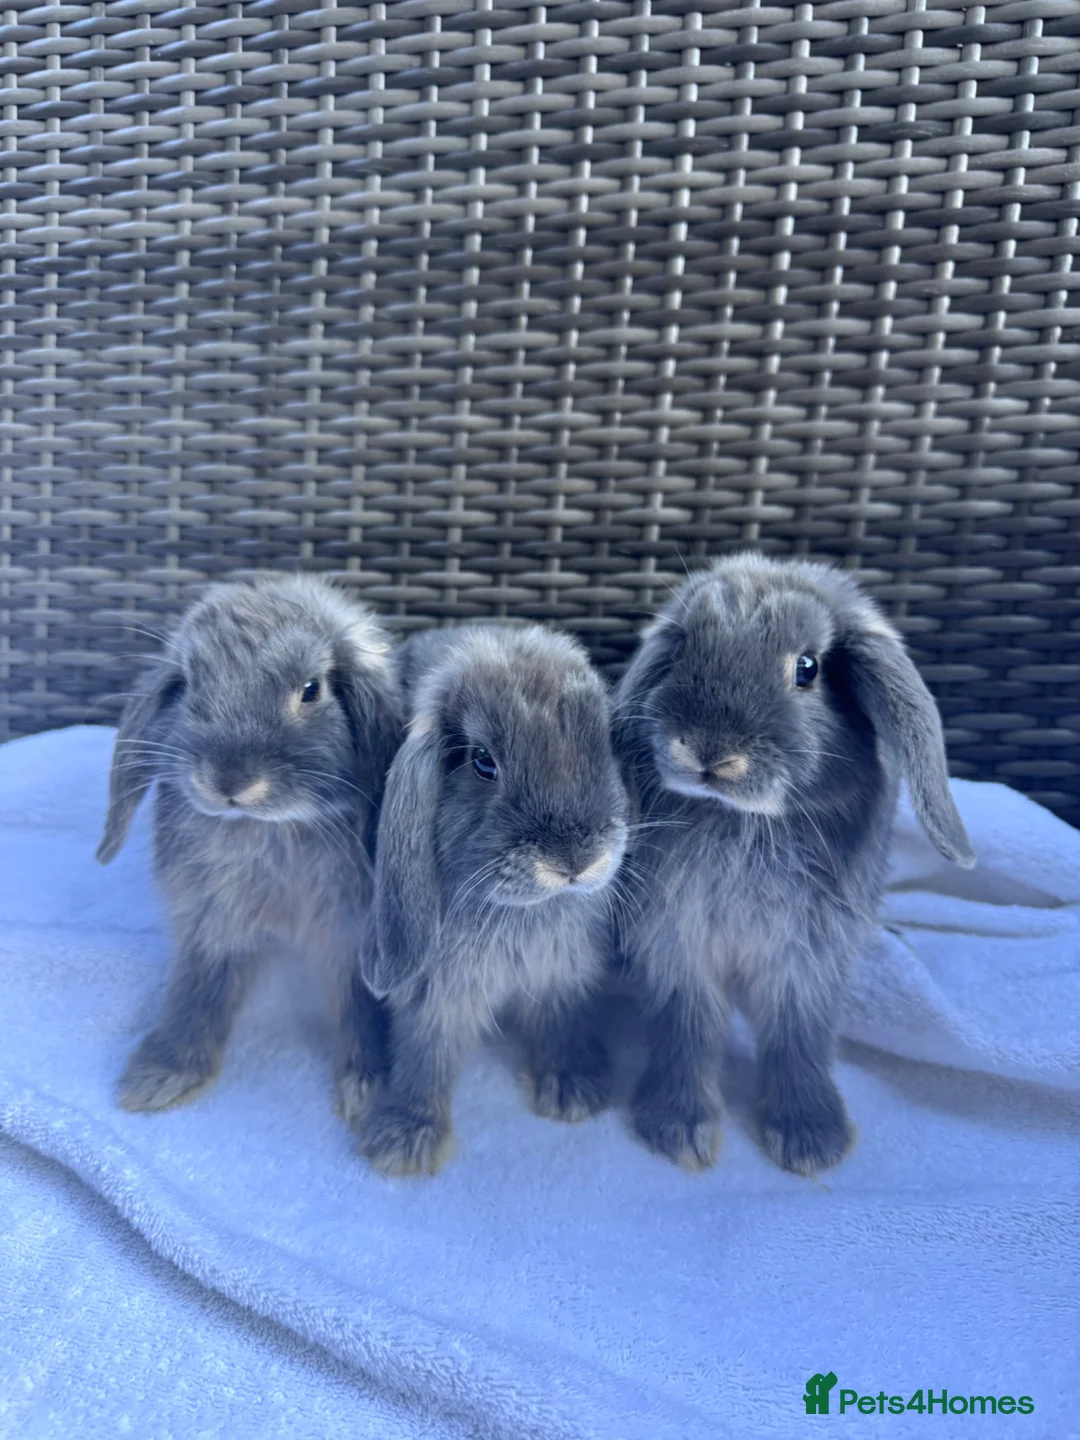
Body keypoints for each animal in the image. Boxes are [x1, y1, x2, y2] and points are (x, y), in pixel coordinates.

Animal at [96, 575, 404, 1119]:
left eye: (311, 689)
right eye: (188, 683)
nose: (228, 780)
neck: (271, 828)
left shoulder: (352, 935)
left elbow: (359, 1002)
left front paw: (367, 1085)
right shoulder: (210, 924)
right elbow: (200, 988)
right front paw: (158, 1077)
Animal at [355, 623, 631, 1176]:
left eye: (604, 743)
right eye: (484, 762)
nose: (576, 860)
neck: (521, 913)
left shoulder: (561, 975)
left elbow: (561, 1024)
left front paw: (574, 1091)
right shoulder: (436, 993)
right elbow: (426, 1054)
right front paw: (403, 1140)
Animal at [611, 553, 975, 1177]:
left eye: (808, 667)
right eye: (684, 646)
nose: (708, 751)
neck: (743, 821)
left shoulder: (807, 959)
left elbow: (797, 1038)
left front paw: (812, 1140)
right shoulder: (679, 946)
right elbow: (688, 1029)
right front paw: (679, 1128)